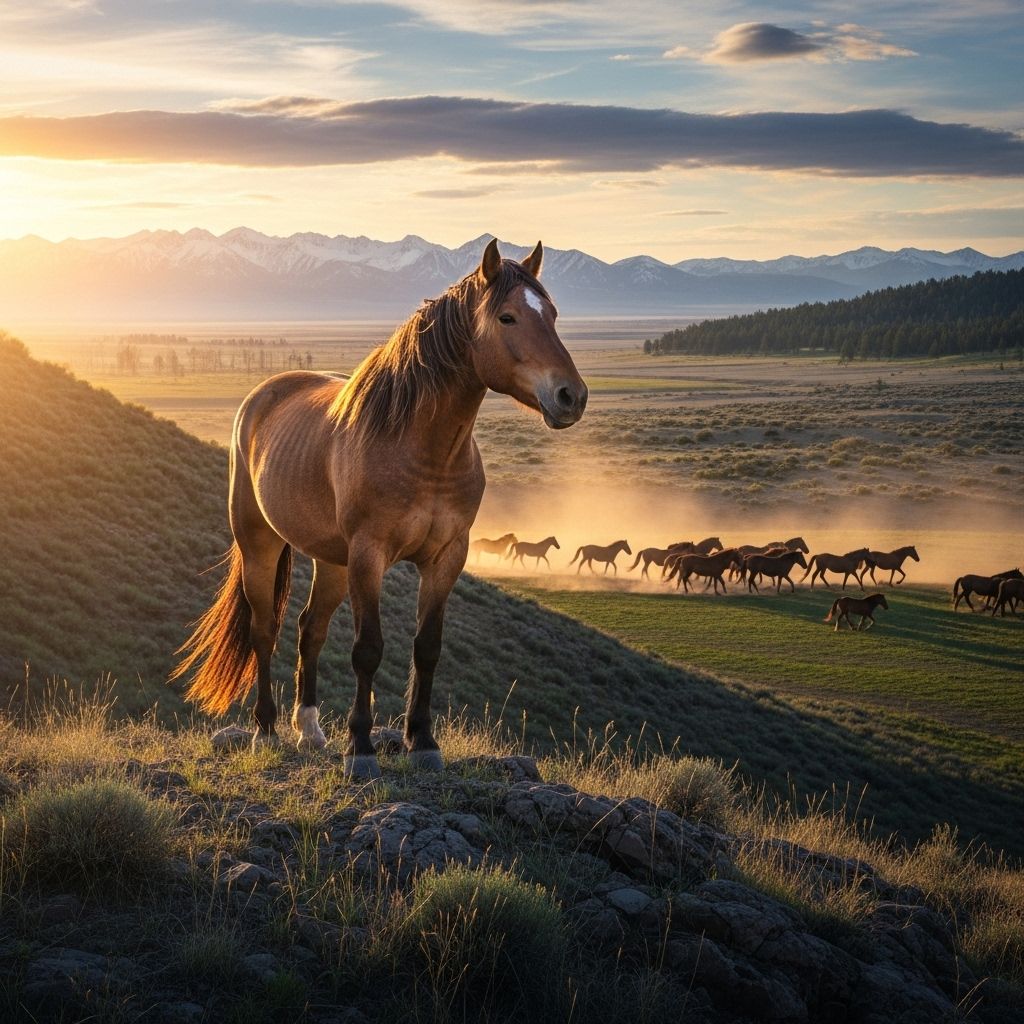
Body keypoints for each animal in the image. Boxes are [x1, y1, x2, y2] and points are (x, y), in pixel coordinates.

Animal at [171, 239, 587, 779]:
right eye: (508, 317)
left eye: (552, 315)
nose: (571, 396)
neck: (423, 449)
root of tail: (261, 396)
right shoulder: (369, 556)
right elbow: (367, 650)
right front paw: (361, 749)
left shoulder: (447, 556)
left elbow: (426, 649)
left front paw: (422, 741)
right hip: (261, 544)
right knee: (265, 630)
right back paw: (265, 731)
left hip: (331, 560)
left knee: (310, 629)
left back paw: (310, 730)